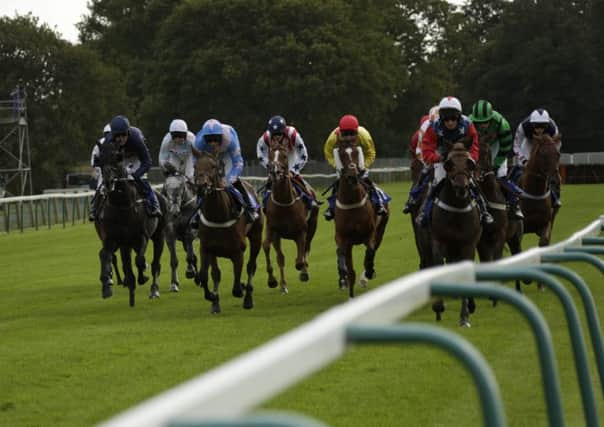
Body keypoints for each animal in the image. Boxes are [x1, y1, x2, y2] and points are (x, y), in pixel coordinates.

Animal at [191, 151, 262, 314]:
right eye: (195, 166)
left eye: (213, 166)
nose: (201, 186)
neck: (218, 215)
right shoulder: (208, 248)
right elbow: (208, 275)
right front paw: (213, 300)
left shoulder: (238, 251)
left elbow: (236, 287)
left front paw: (242, 288)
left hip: (256, 237)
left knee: (251, 266)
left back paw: (248, 298)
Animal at [264, 144, 320, 294]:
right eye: (270, 155)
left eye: (284, 156)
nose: (275, 171)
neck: (284, 203)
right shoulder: (275, 232)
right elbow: (279, 257)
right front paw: (280, 284)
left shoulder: (301, 231)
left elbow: (300, 260)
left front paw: (302, 270)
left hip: (312, 226)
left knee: (306, 247)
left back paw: (304, 271)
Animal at [332, 142, 390, 300]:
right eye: (342, 154)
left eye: (357, 152)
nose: (352, 176)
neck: (352, 202)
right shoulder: (344, 239)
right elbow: (347, 264)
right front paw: (345, 283)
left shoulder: (370, 234)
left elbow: (369, 253)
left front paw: (369, 272)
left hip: (381, 231)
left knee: (374, 249)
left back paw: (365, 277)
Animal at [430, 144, 482, 328]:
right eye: (448, 164)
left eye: (470, 163)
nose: (461, 187)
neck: (456, 210)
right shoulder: (438, 241)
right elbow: (438, 264)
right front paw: (438, 306)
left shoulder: (468, 245)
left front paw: (464, 317)